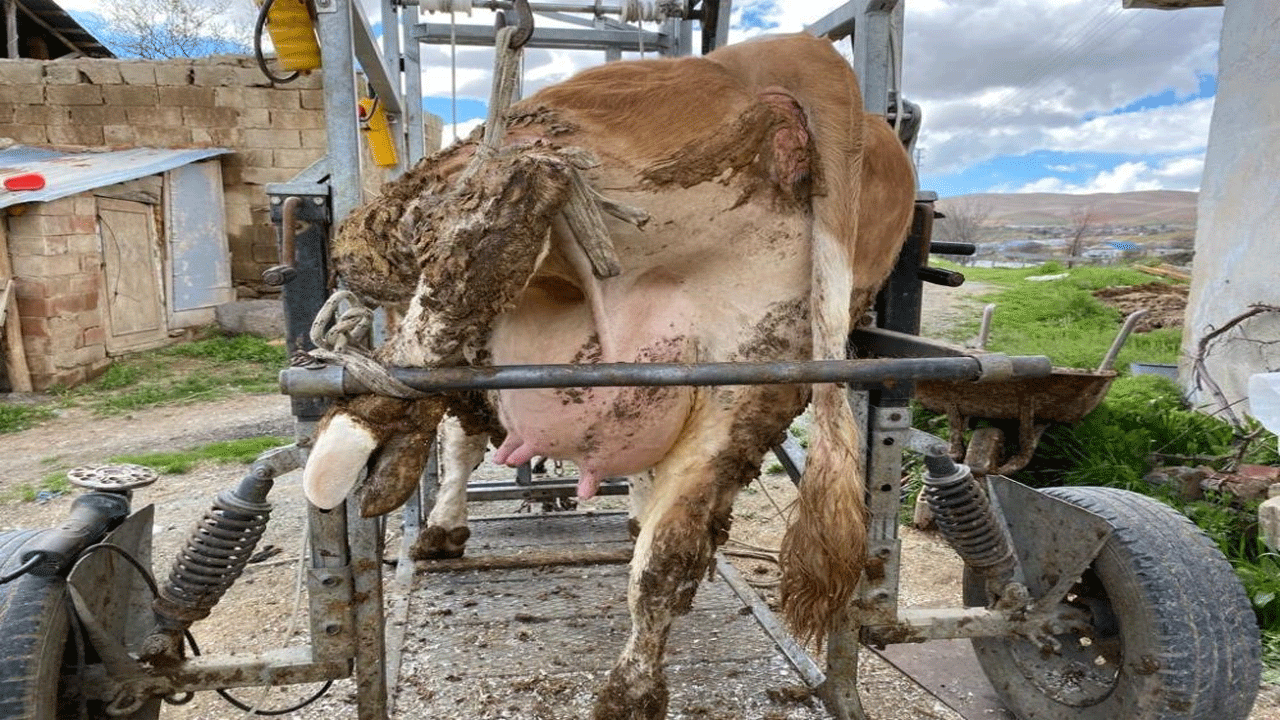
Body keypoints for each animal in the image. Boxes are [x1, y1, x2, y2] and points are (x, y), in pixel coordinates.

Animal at [299, 33, 921, 717]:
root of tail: (799, 51)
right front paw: (633, 513)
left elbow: (459, 441)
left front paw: (441, 526)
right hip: (756, 369)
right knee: (671, 555)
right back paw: (631, 690)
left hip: (497, 173)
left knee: (458, 230)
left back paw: (366, 432)